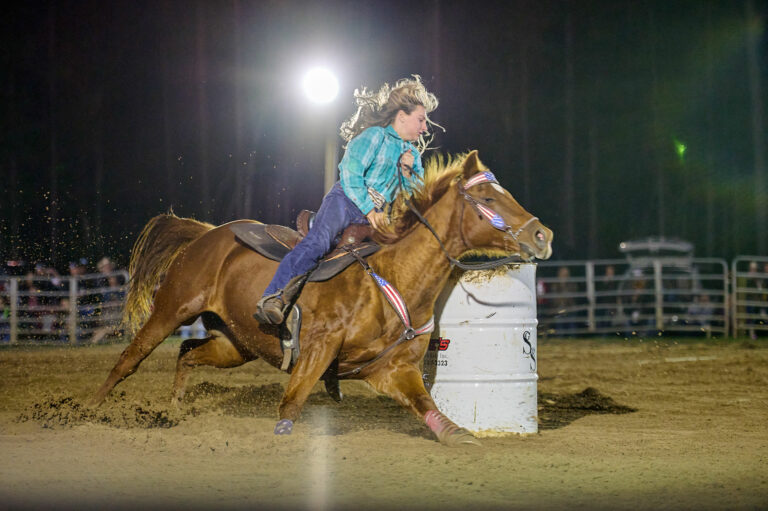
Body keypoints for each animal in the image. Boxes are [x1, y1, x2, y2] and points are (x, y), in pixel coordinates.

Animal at [90, 152, 552, 448]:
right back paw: (89, 410)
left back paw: (175, 410)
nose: (542, 233)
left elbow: (430, 408)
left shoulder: (396, 370)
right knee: (129, 360)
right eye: (489, 198)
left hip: (237, 344)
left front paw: (460, 435)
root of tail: (205, 233)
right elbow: (291, 403)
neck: (392, 277)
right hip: (172, 308)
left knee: (187, 353)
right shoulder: (318, 347)